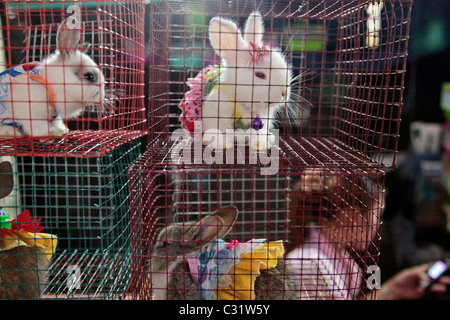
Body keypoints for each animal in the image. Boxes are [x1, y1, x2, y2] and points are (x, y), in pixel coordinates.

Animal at [179, 10, 292, 149]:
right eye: (260, 75)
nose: (284, 93)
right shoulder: (218, 112)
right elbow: (218, 132)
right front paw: (223, 145)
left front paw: (260, 145)